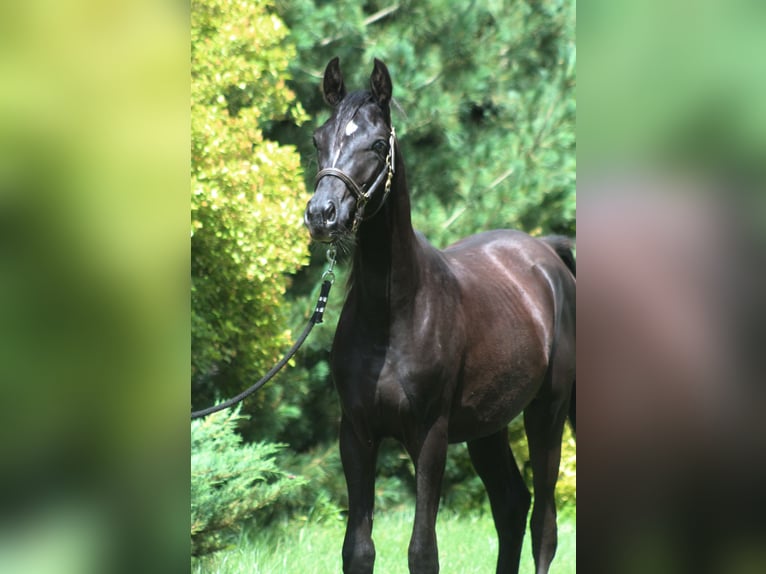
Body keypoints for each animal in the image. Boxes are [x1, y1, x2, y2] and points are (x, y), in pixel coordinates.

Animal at [304, 57, 575, 574]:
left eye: (376, 143)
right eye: (317, 138)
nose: (322, 214)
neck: (393, 315)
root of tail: (546, 253)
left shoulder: (429, 436)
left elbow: (422, 551)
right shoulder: (357, 435)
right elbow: (358, 550)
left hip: (546, 414)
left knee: (544, 525)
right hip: (487, 427)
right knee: (512, 505)